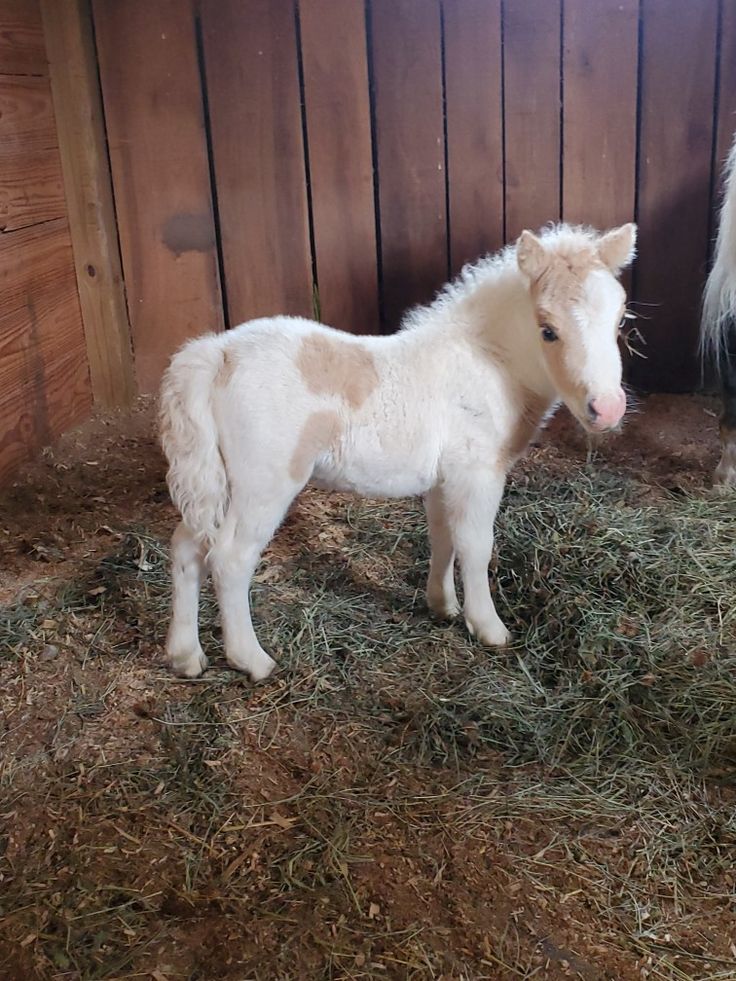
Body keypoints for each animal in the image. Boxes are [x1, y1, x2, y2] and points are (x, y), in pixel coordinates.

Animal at [161, 221, 640, 676]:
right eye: (548, 330)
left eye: (619, 320)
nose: (607, 409)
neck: (489, 361)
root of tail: (217, 353)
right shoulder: (477, 473)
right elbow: (476, 546)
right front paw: (489, 628)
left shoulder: (443, 480)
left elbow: (444, 538)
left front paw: (443, 606)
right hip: (264, 484)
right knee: (230, 558)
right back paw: (252, 660)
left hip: (218, 479)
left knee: (187, 546)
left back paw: (185, 656)